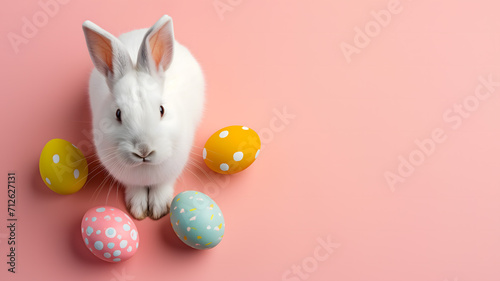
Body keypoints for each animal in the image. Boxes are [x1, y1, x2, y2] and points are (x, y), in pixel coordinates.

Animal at [83, 15, 204, 219]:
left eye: (162, 110)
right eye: (118, 113)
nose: (143, 150)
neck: (145, 168)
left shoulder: (171, 171)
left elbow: (162, 186)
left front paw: (159, 209)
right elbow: (135, 188)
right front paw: (138, 208)